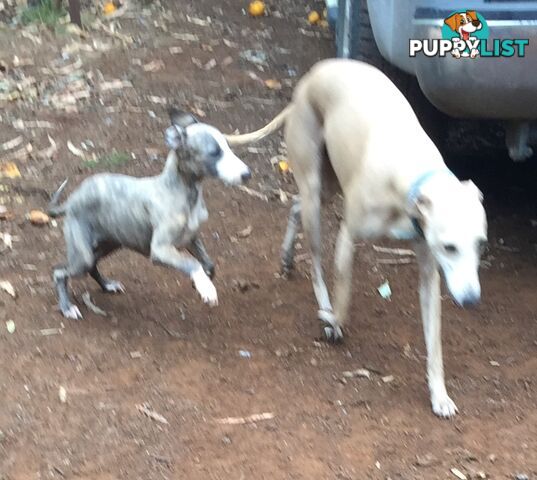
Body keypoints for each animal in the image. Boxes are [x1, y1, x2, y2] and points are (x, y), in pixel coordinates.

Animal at [226, 58, 486, 416]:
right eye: (450, 247)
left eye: (481, 244)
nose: (472, 300)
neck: (412, 174)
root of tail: (305, 84)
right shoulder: (349, 234)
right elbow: (344, 294)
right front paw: (333, 320)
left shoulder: (429, 271)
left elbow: (434, 342)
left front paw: (439, 394)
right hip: (315, 193)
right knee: (316, 264)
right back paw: (322, 307)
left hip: (325, 188)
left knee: (294, 208)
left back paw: (287, 258)